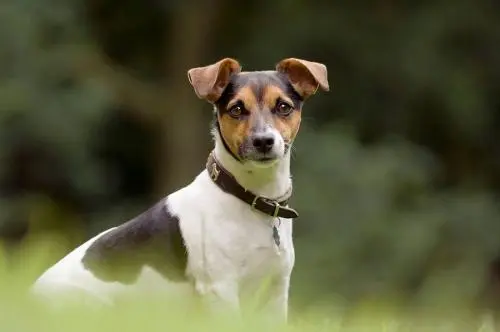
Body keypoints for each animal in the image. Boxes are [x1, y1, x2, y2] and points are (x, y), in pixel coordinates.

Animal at [31, 57, 328, 322]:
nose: (264, 141)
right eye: (236, 109)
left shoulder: (275, 292)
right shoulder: (221, 290)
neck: (250, 197)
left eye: (283, 106)